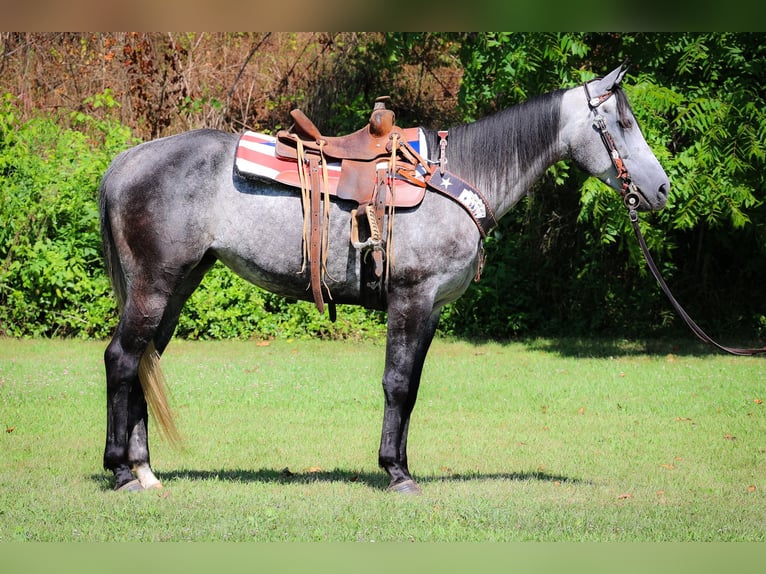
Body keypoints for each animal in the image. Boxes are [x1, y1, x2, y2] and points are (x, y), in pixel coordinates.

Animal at [99, 65, 669, 493]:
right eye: (622, 121)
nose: (662, 189)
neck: (451, 179)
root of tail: (126, 161)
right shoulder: (410, 298)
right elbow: (396, 383)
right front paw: (396, 474)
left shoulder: (431, 309)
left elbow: (410, 386)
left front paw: (400, 464)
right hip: (154, 286)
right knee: (122, 358)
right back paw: (121, 472)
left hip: (178, 285)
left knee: (145, 363)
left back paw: (145, 471)